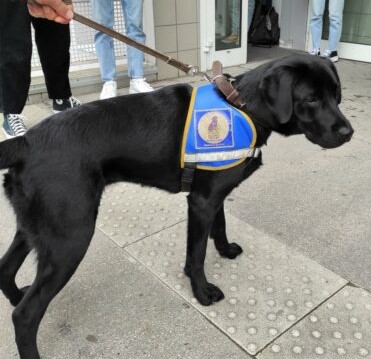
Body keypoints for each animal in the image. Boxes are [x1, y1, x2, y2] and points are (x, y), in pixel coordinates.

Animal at [0, 54, 354, 358]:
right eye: (311, 99)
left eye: (336, 95)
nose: (348, 132)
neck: (243, 107)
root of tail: (25, 143)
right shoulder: (200, 202)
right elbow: (196, 255)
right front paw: (202, 292)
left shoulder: (213, 194)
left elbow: (220, 227)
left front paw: (225, 250)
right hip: (70, 238)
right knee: (26, 315)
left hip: (36, 229)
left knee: (6, 270)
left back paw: (16, 295)